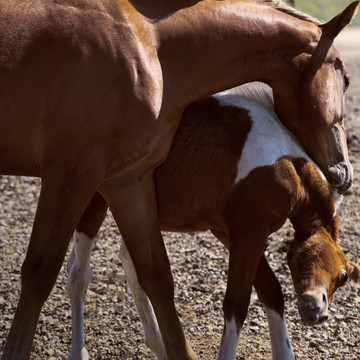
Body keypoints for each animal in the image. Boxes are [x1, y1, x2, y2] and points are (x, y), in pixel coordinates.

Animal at [67, 82, 358, 360]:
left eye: (342, 278)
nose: (314, 310)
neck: (288, 164)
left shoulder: (229, 231)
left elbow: (271, 291)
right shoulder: (249, 232)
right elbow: (237, 305)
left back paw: (158, 346)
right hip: (97, 198)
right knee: (79, 273)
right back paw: (79, 351)